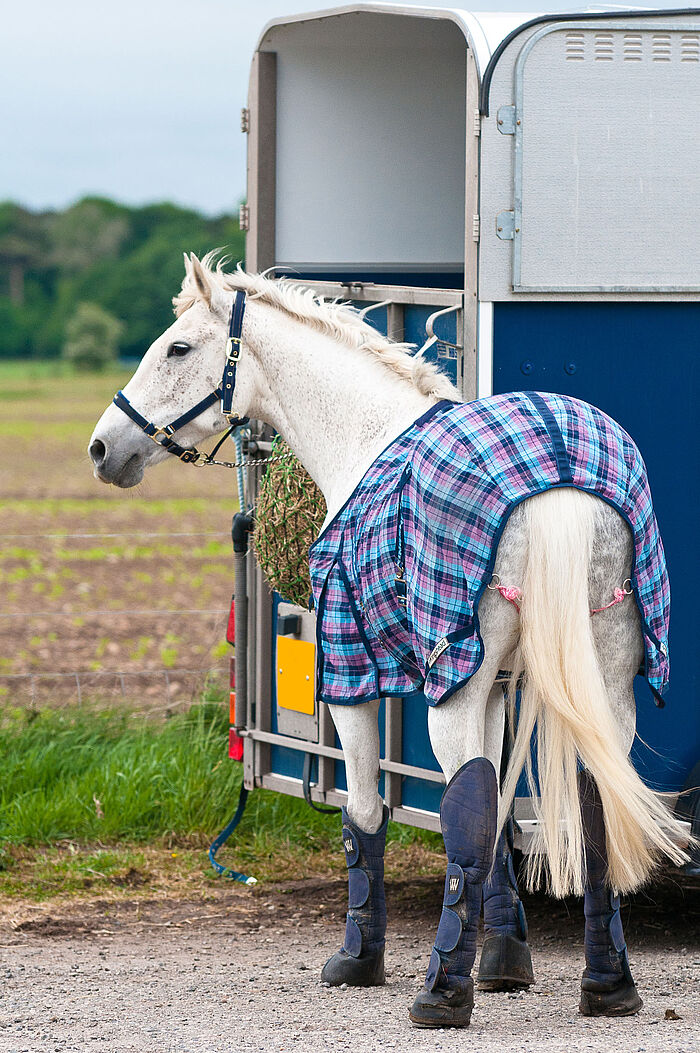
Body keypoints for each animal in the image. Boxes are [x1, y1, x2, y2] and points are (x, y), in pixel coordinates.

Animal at [90, 254, 686, 1027]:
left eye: (178, 349)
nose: (104, 448)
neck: (365, 435)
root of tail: (558, 486)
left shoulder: (355, 676)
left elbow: (368, 809)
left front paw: (359, 960)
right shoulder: (497, 685)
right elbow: (501, 818)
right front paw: (504, 961)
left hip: (451, 689)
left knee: (465, 818)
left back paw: (441, 995)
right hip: (606, 681)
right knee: (594, 807)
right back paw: (609, 985)